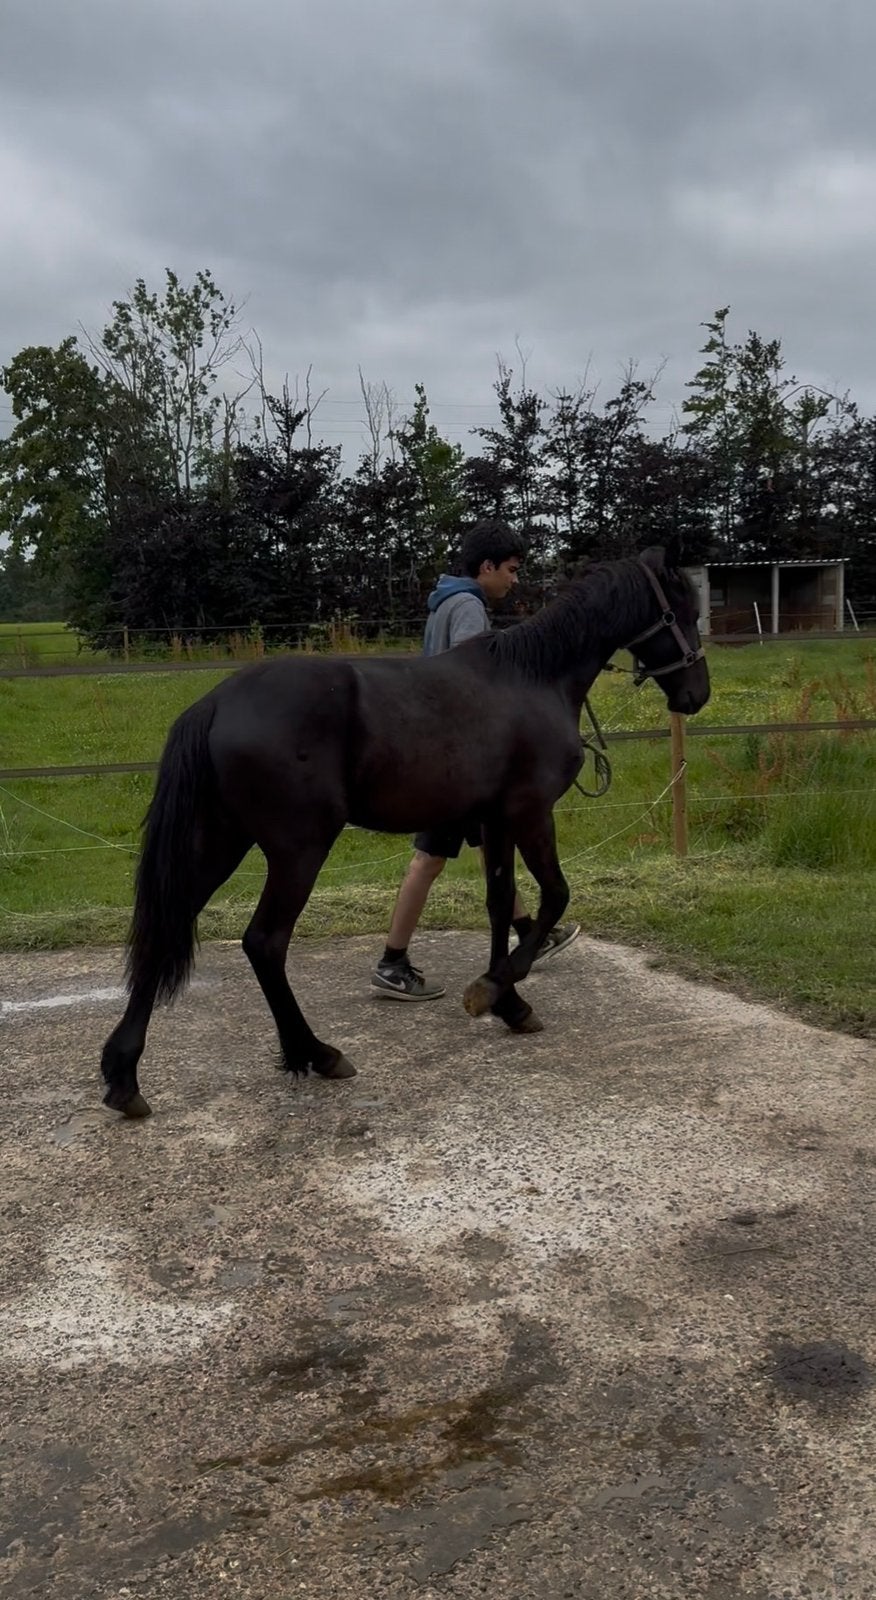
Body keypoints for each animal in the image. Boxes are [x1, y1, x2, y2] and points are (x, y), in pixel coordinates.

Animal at [100, 545, 710, 1118]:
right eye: (682, 610)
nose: (697, 694)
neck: (534, 679)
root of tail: (215, 702)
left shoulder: (493, 820)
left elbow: (500, 903)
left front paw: (510, 1003)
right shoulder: (530, 812)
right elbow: (556, 894)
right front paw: (493, 988)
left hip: (219, 842)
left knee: (167, 929)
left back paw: (124, 1075)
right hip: (298, 851)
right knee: (265, 943)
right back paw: (317, 1053)